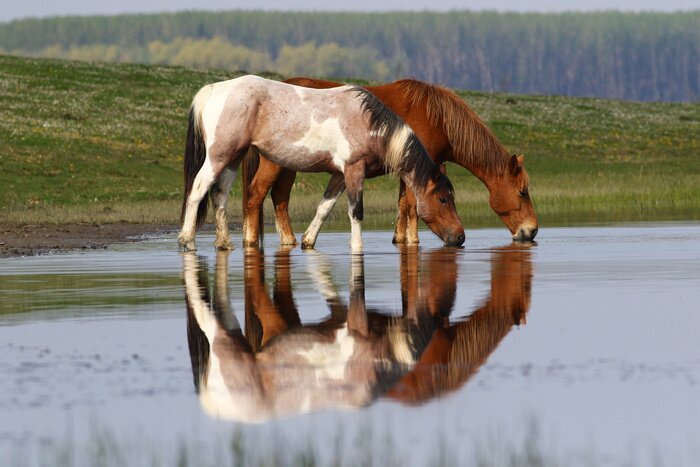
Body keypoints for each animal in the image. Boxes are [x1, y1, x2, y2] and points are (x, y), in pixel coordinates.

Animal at [178, 75, 464, 252]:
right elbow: (356, 210)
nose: (460, 237)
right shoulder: (353, 170)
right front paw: (357, 247)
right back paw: (187, 240)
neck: (369, 123)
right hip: (219, 156)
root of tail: (212, 90)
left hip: (232, 158)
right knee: (198, 189)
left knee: (219, 194)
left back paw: (224, 243)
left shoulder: (338, 175)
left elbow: (325, 207)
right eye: (443, 199)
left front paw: (308, 241)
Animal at [240, 77, 538, 248]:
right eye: (522, 192)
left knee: (278, 198)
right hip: (276, 164)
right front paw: (412, 241)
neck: (437, 118)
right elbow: (412, 206)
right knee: (259, 195)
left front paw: (399, 238)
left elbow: (402, 205)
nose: (532, 231)